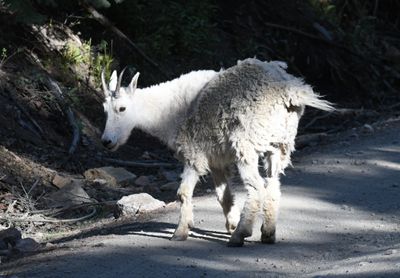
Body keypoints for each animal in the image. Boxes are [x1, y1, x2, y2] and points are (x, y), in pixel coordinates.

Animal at [101, 58, 334, 248]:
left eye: (122, 108)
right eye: (105, 110)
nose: (107, 142)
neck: (168, 112)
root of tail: (290, 92)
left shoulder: (194, 154)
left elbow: (183, 192)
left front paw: (180, 232)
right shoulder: (216, 160)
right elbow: (224, 196)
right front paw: (230, 223)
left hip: (245, 145)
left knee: (256, 187)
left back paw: (240, 235)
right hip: (278, 146)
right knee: (273, 185)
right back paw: (267, 233)